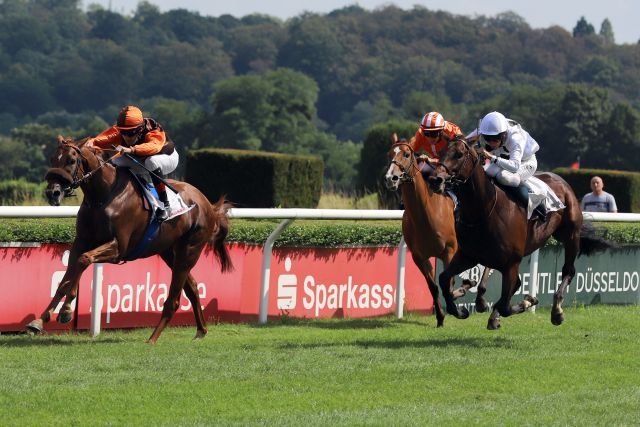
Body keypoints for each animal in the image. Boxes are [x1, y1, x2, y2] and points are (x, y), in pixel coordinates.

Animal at [27, 137, 234, 344]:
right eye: (53, 158)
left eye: (71, 160)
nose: (52, 192)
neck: (103, 195)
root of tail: (208, 204)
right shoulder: (81, 242)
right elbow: (66, 278)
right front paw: (40, 320)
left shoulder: (119, 248)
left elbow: (83, 260)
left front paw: (66, 310)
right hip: (169, 251)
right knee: (192, 288)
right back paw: (201, 330)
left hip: (190, 249)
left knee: (174, 299)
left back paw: (152, 339)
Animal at [384, 137, 490, 328]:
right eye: (390, 154)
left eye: (407, 154)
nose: (391, 178)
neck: (427, 213)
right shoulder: (419, 257)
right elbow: (434, 286)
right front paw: (441, 316)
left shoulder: (450, 251)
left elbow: (448, 283)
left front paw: (458, 309)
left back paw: (480, 299)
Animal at [430, 139, 608, 330]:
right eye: (441, 152)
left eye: (459, 154)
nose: (435, 180)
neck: (483, 210)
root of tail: (561, 180)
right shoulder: (469, 255)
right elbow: (444, 278)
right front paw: (460, 310)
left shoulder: (511, 263)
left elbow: (506, 305)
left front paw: (528, 301)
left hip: (570, 235)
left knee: (568, 271)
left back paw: (556, 311)